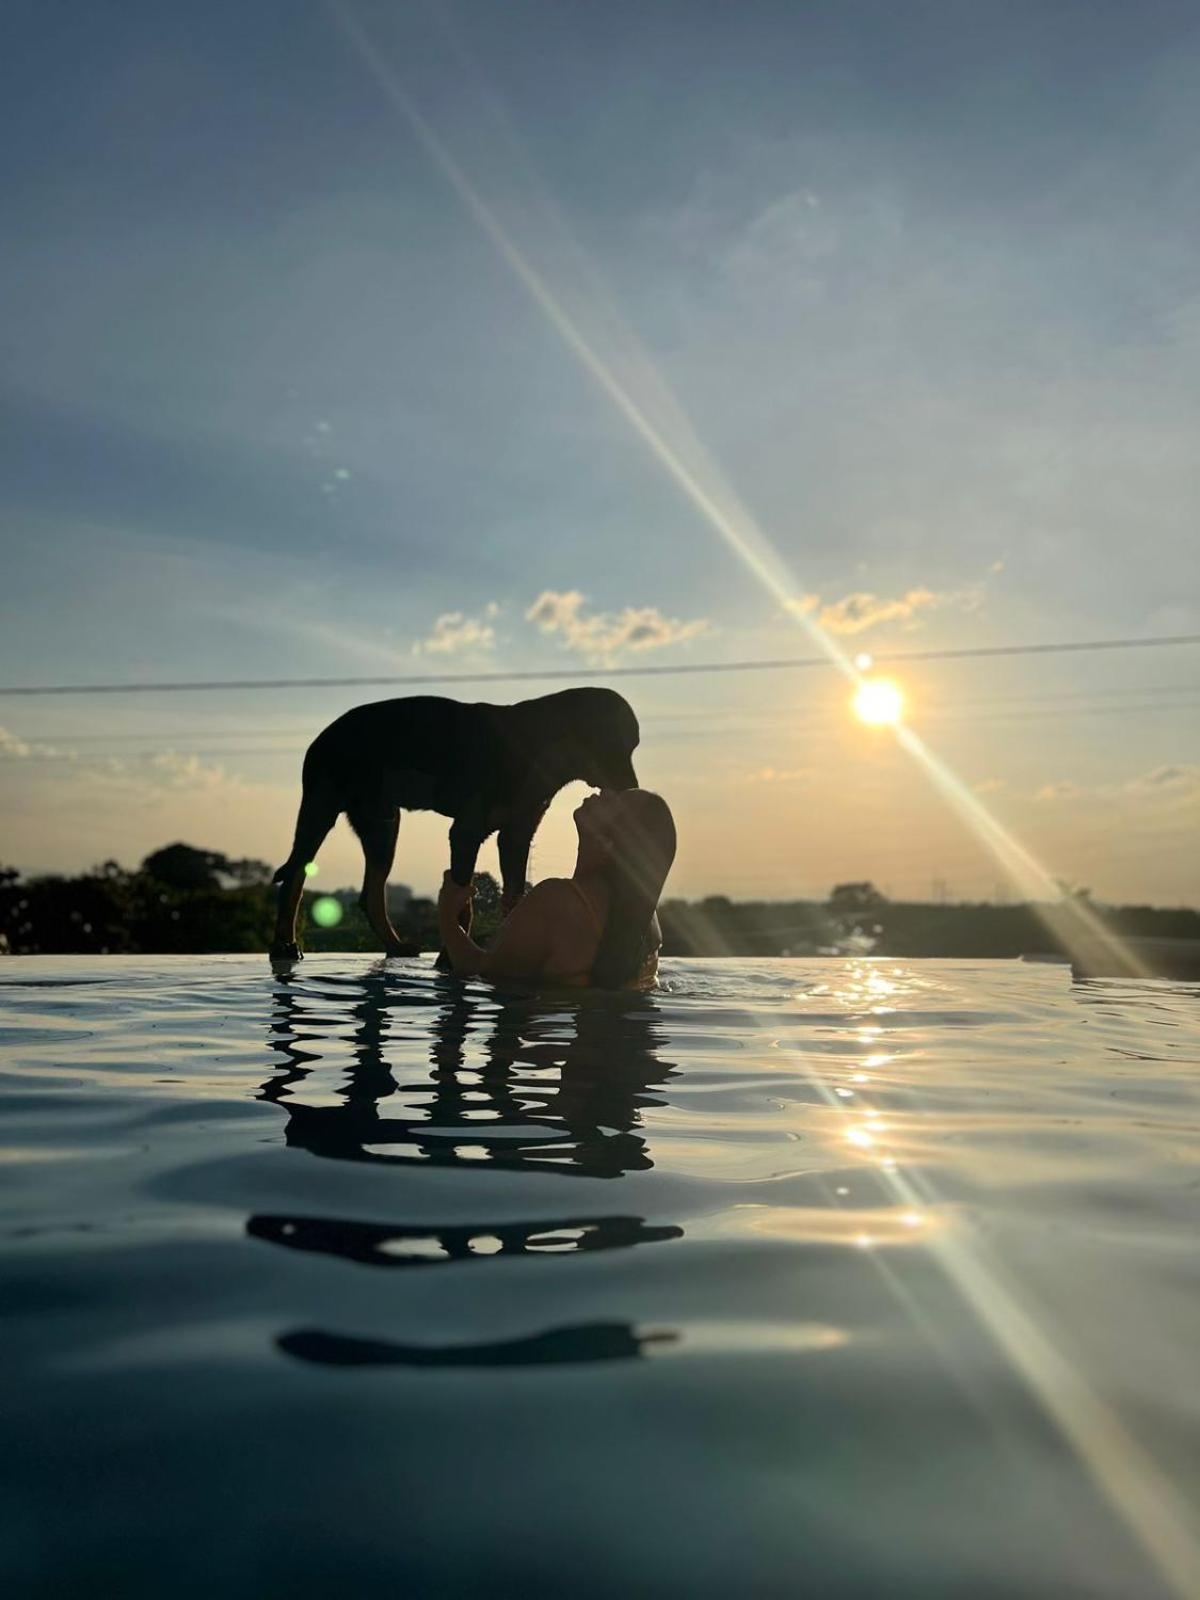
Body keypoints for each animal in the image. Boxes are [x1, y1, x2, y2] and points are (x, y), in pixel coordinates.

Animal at [272, 684, 643, 953]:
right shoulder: (466, 833)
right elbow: (463, 904)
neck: (537, 746)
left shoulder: (516, 835)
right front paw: (451, 960)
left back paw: (394, 946)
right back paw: (284, 945)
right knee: (295, 877)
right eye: (612, 743)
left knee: (370, 894)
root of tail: (321, 738)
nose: (634, 788)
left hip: (382, 825)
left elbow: (513, 895)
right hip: (320, 811)